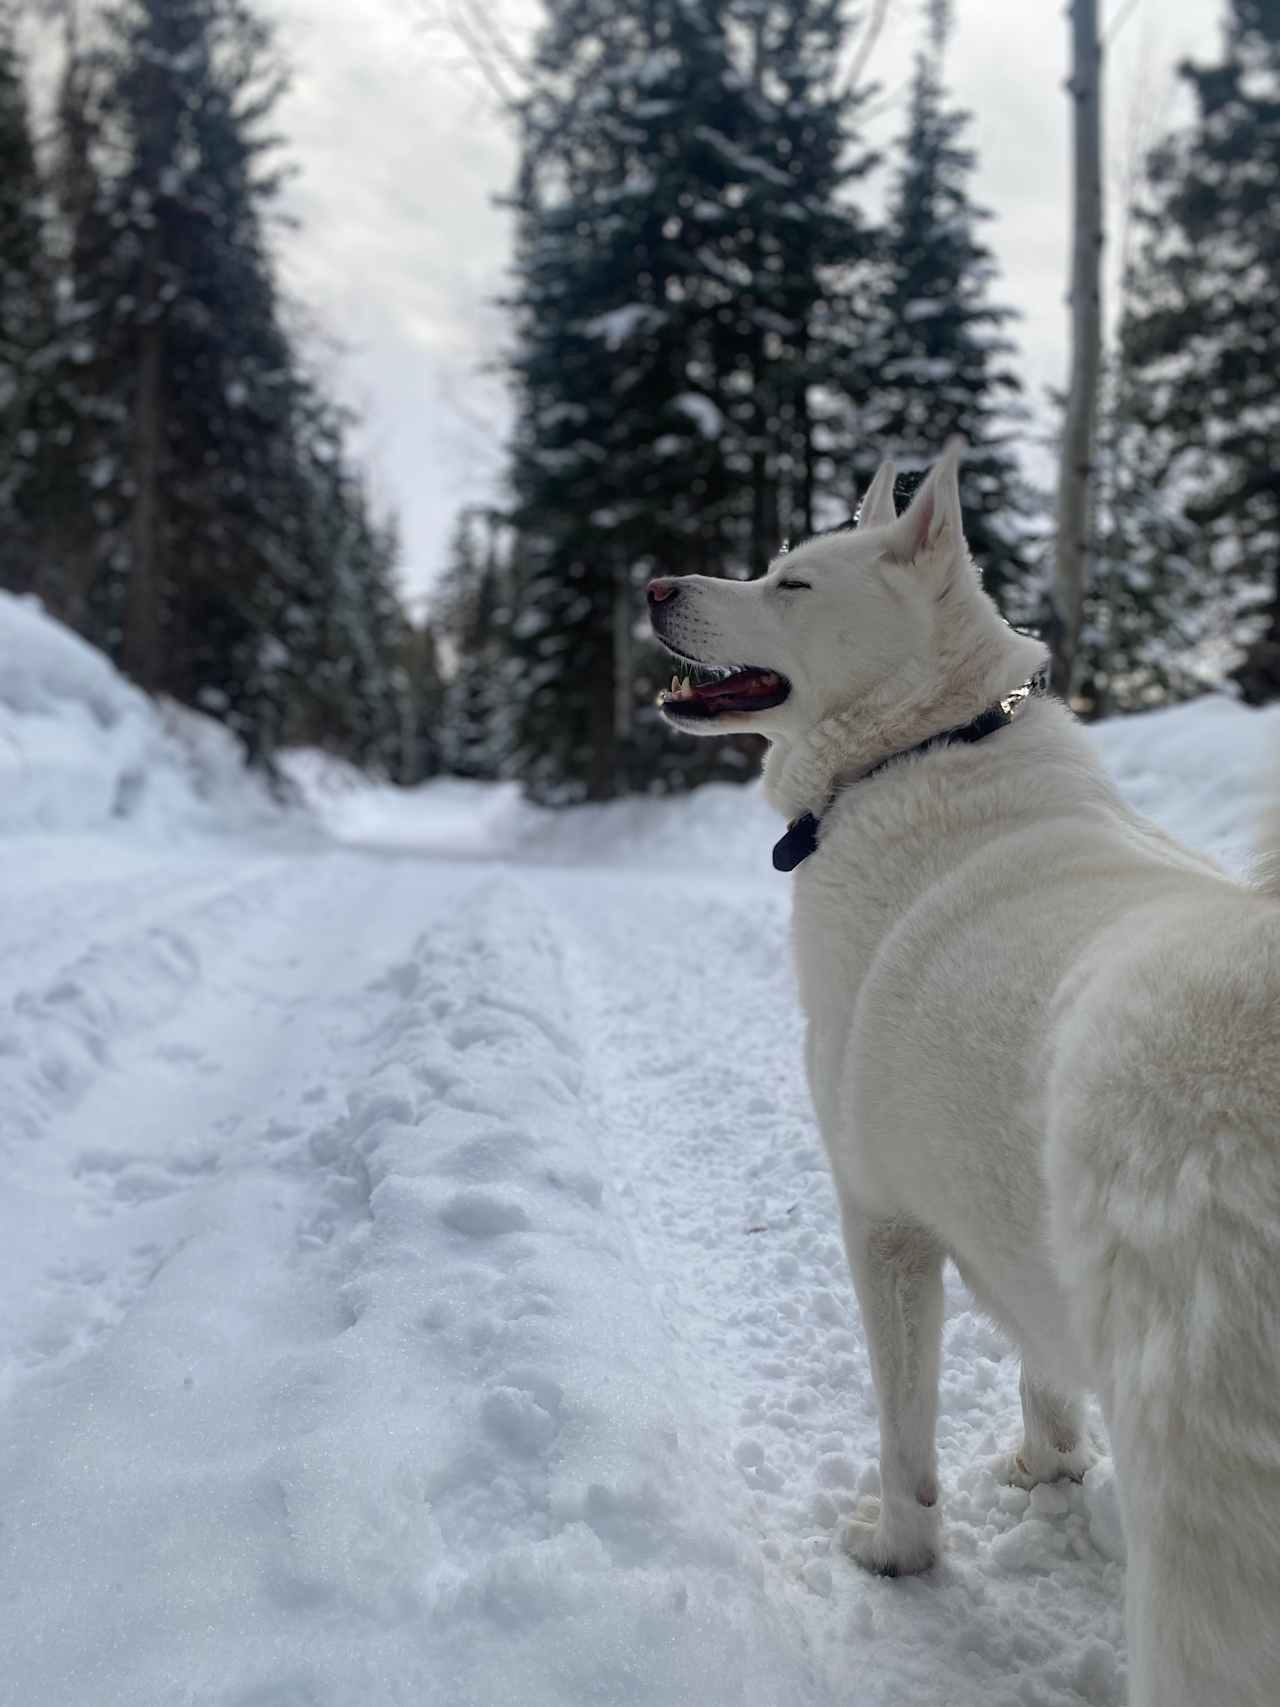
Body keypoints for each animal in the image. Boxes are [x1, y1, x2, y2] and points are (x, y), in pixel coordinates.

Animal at [651, 440, 1280, 1707]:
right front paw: (1046, 1469)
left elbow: (904, 1437)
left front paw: (900, 1554)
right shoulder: (1011, 1225)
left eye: (791, 582)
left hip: (1204, 1503)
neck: (919, 746)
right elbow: (1042, 1373)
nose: (648, 586)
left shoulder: (881, 1221)